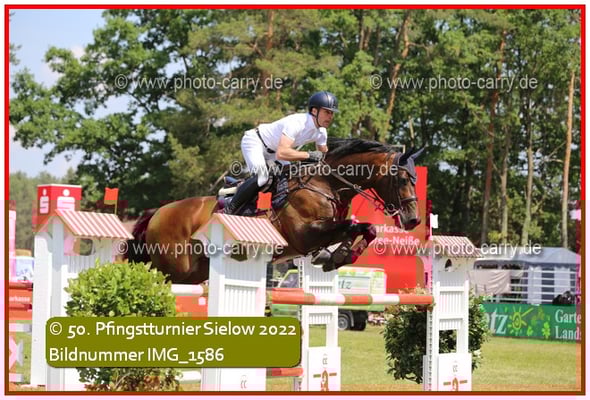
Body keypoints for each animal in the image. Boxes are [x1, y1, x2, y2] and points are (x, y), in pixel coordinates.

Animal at [126, 138, 424, 284]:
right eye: (402, 179)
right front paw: (337, 256)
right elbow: (351, 226)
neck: (325, 184)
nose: (413, 219)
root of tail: (157, 213)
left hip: (194, 274)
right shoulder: (305, 235)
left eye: (415, 178)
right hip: (174, 270)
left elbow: (365, 228)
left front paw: (336, 256)